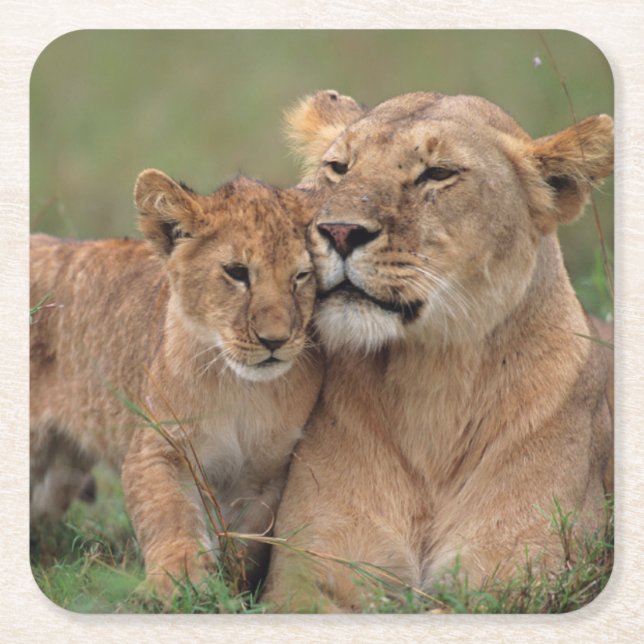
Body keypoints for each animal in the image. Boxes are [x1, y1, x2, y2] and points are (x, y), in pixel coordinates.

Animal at [30, 170, 323, 595]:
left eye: (301, 276)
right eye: (237, 272)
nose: (275, 340)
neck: (242, 389)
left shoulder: (267, 476)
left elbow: (246, 541)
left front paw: (231, 586)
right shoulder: (158, 448)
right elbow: (170, 516)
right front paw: (179, 581)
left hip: (57, 475)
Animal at [264, 90, 614, 611]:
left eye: (438, 173)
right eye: (339, 168)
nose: (340, 231)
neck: (431, 382)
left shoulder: (524, 574)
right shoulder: (310, 572)